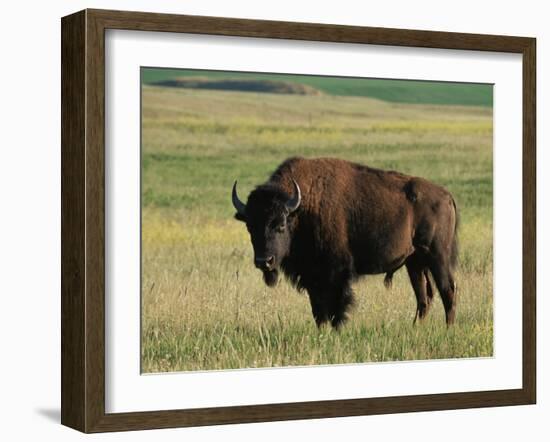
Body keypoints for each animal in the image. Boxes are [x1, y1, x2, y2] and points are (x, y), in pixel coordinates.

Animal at [231, 156, 460, 328]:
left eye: (280, 224)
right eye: (250, 226)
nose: (264, 261)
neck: (302, 208)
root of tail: (447, 196)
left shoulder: (335, 273)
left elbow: (336, 306)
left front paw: (336, 329)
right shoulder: (312, 276)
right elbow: (318, 309)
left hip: (437, 257)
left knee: (447, 290)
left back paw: (448, 328)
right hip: (415, 263)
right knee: (424, 297)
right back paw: (415, 327)